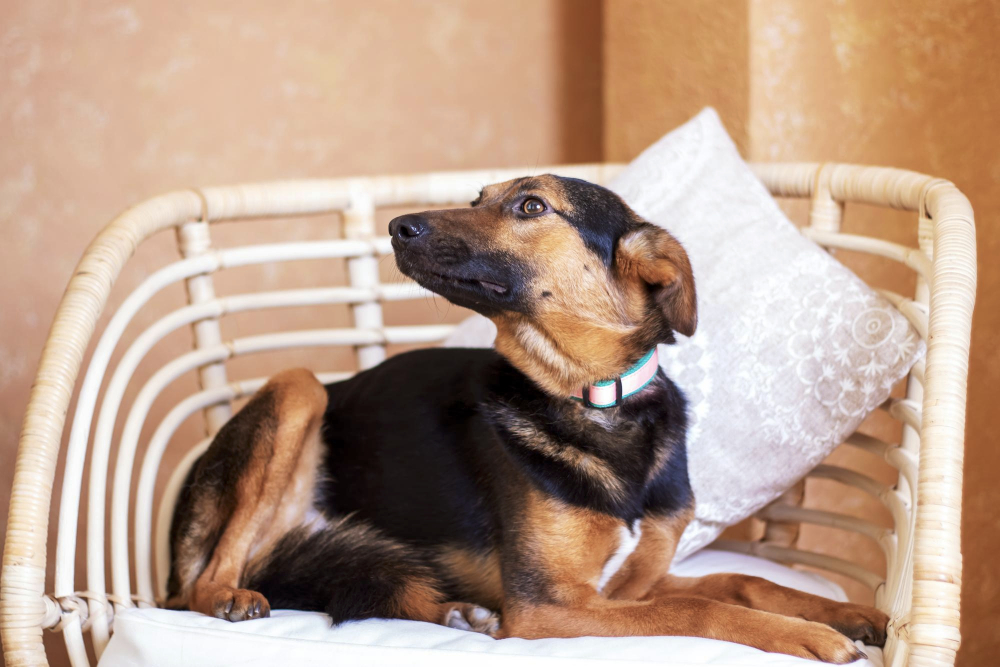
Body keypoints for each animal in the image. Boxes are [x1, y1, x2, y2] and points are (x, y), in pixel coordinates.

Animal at [168, 174, 888, 664]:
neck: (595, 399)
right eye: (478, 196)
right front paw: (806, 635)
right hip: (297, 393)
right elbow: (700, 606)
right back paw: (229, 596)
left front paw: (849, 612)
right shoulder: (549, 606)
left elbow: (738, 579)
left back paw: (457, 612)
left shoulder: (630, 586)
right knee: (205, 577)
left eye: (531, 205)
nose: (398, 225)